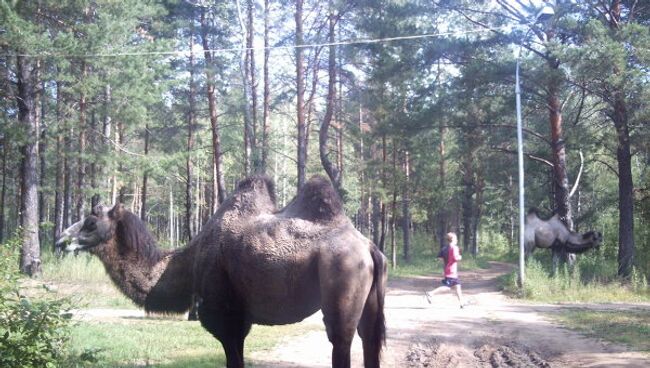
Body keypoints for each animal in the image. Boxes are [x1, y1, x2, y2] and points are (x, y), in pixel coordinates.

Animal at [57, 175, 384, 368]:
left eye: (90, 222)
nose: (60, 239)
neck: (186, 263)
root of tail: (369, 247)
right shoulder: (240, 320)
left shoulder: (225, 317)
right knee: (369, 339)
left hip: (341, 283)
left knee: (341, 339)